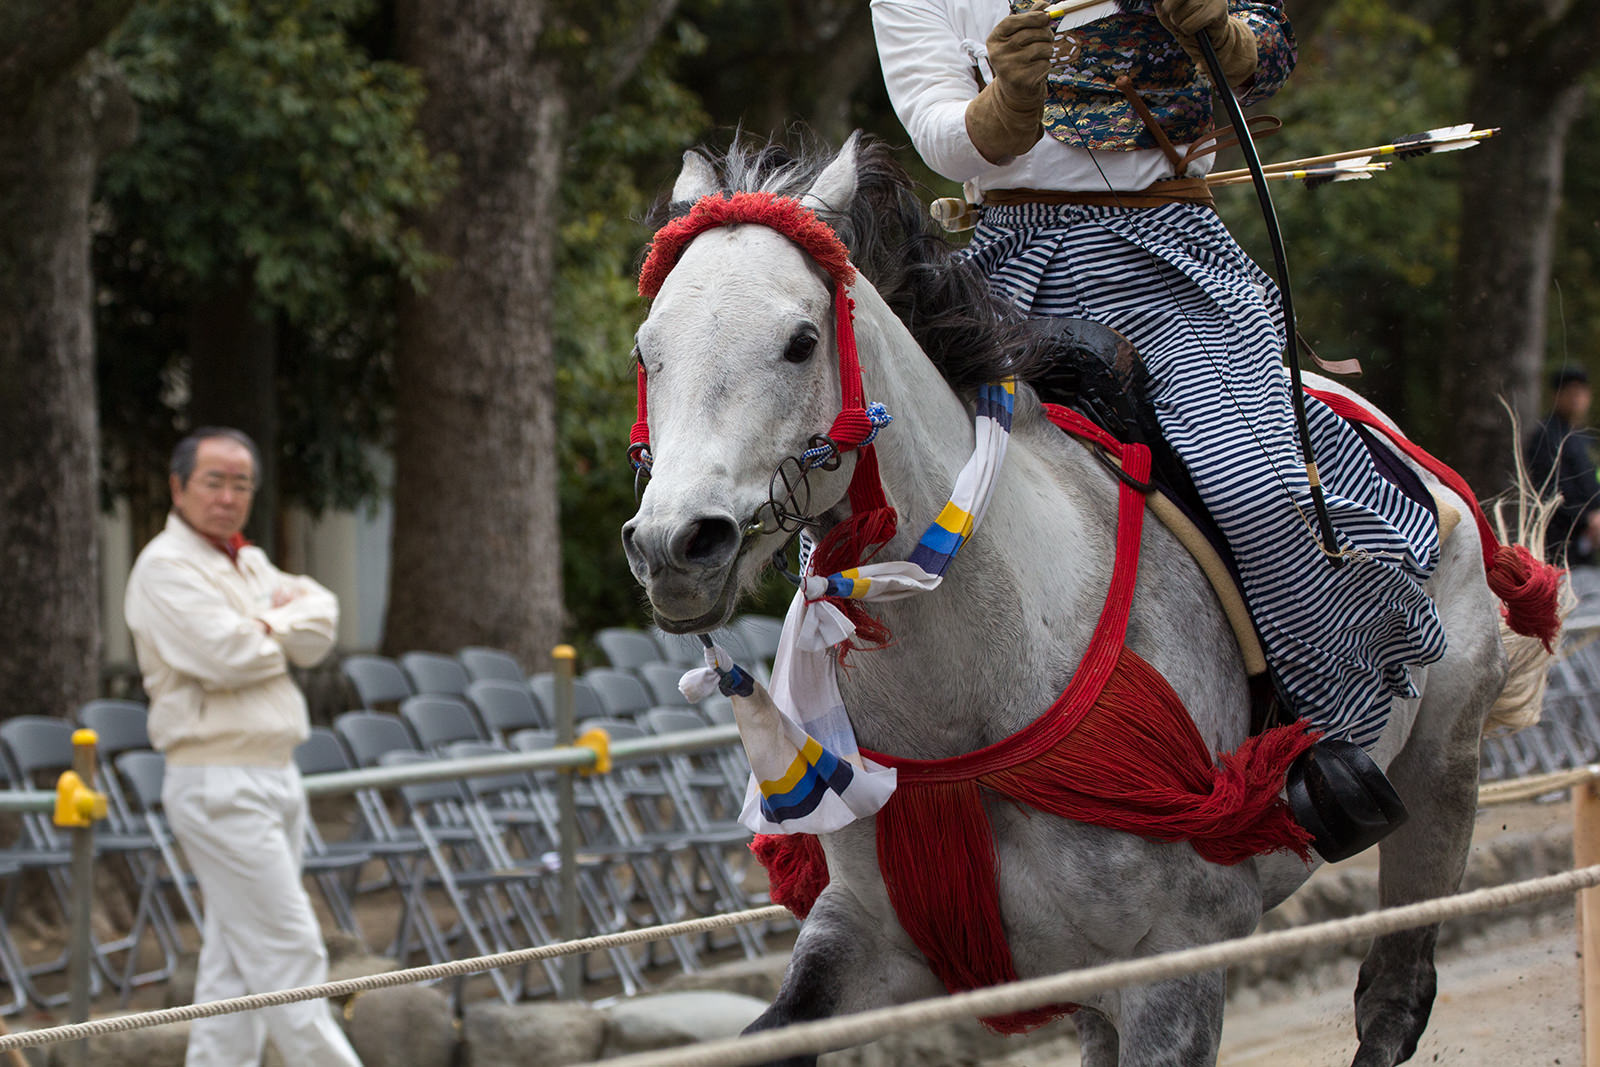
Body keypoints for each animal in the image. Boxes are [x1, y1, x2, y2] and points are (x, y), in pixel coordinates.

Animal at [620, 133, 1548, 1067]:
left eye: (802, 341)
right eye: (646, 350)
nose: (676, 545)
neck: (977, 691)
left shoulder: (1178, 957)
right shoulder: (870, 935)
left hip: (1442, 769)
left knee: (1396, 994)